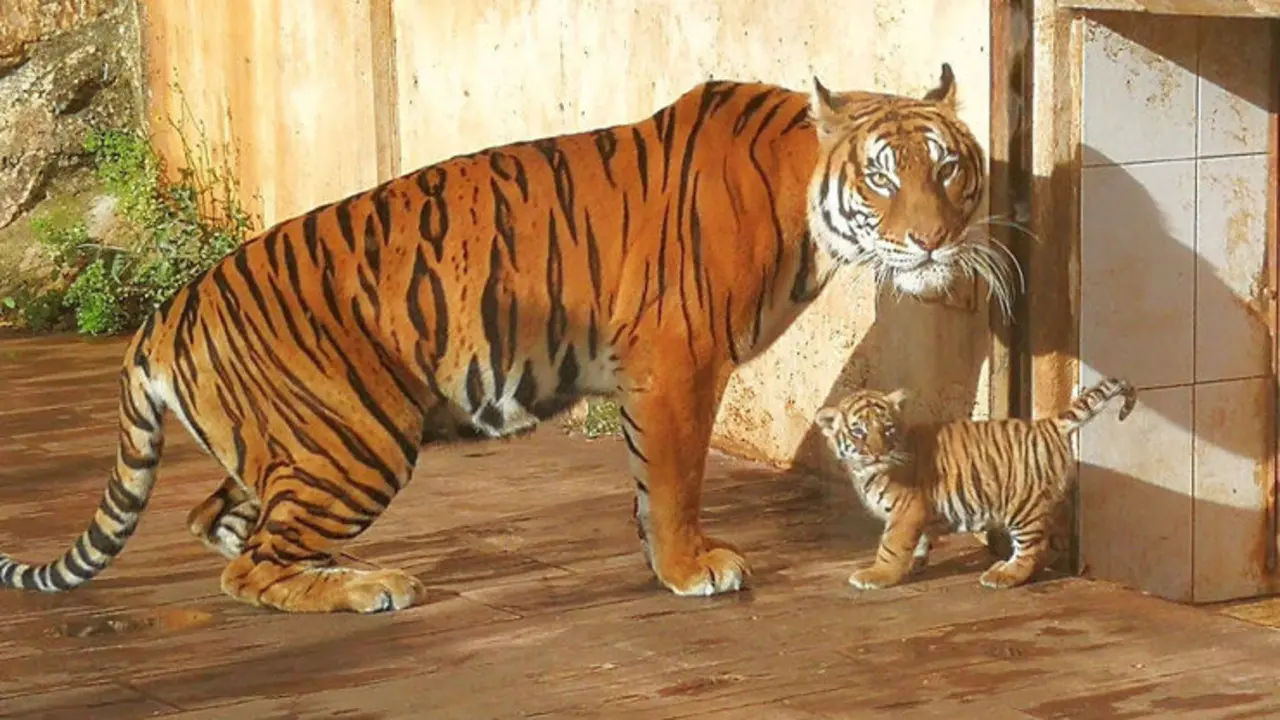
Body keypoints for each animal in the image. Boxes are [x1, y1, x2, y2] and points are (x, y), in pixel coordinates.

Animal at [0, 63, 1015, 613]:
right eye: (882, 177)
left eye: (949, 169)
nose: (933, 241)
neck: (807, 196)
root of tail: (165, 313)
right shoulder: (679, 361)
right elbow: (675, 479)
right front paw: (691, 568)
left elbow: (651, 483)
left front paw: (663, 559)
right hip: (358, 440)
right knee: (250, 565)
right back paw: (368, 585)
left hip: (292, 445)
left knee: (220, 522)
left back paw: (339, 567)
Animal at [815, 376, 1136, 590]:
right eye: (858, 431)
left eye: (887, 429)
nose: (878, 452)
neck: (865, 470)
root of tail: (1048, 424)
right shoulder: (918, 512)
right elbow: (919, 540)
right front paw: (915, 564)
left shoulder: (906, 509)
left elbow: (891, 546)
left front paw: (877, 575)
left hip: (1023, 507)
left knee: (1033, 550)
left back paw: (1003, 575)